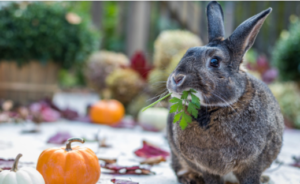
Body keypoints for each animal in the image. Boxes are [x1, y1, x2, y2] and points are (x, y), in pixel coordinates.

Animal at [166, 1, 284, 184]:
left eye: (214, 61)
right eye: (187, 52)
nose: (176, 78)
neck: (213, 109)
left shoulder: (253, 162)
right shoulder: (207, 168)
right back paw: (190, 179)